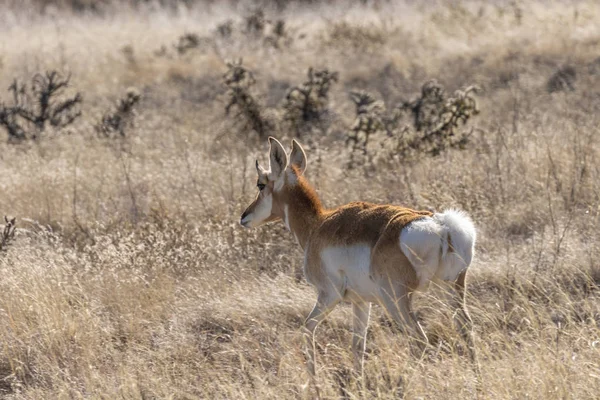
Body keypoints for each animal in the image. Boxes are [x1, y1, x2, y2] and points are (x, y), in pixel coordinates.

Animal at [240, 137, 478, 376]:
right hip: (451, 289)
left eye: (261, 184)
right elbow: (358, 345)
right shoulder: (361, 302)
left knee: (420, 339)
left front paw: (313, 378)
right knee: (466, 327)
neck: (317, 225)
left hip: (396, 300)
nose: (244, 217)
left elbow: (307, 329)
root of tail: (441, 225)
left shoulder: (329, 295)